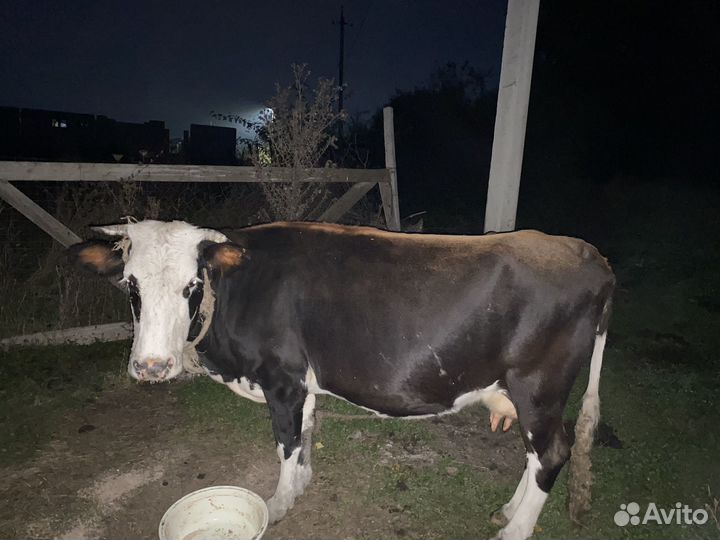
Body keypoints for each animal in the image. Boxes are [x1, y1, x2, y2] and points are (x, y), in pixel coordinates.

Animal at [68, 219, 614, 540]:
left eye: (192, 284)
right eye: (131, 285)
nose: (151, 366)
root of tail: (589, 253)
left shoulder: (282, 380)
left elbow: (286, 442)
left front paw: (280, 503)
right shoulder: (302, 384)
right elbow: (306, 434)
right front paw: (302, 484)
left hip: (537, 384)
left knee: (551, 453)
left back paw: (515, 531)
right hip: (529, 393)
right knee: (540, 453)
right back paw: (507, 510)